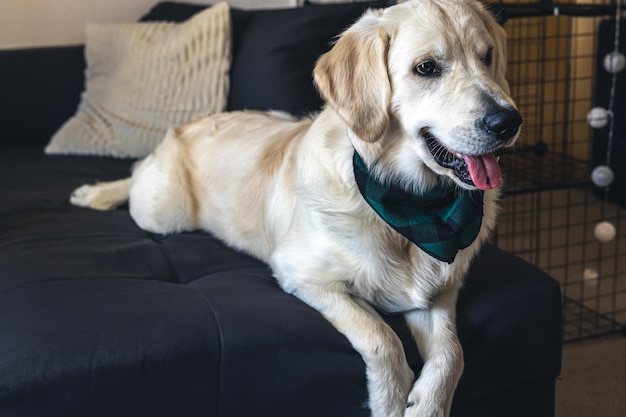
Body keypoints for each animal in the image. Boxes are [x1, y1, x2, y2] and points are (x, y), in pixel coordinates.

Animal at [70, 1, 520, 414]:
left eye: (487, 56)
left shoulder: (437, 295)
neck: (410, 204)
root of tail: (190, 122)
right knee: (136, 175)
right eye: (426, 68)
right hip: (163, 212)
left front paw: (427, 403)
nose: (507, 122)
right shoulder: (304, 276)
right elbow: (381, 337)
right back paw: (95, 193)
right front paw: (391, 400)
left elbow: (452, 355)